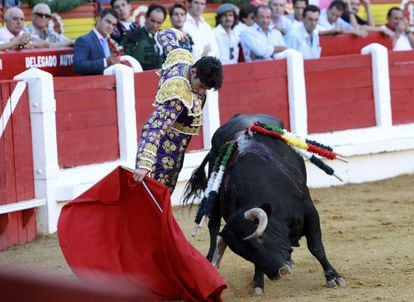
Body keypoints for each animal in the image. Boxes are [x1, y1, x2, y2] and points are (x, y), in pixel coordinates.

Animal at [184, 113, 346, 292]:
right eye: (244, 253)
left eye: (260, 237)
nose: (279, 272)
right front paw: (258, 283)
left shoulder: (310, 211)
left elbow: (316, 247)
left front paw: (333, 277)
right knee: (213, 226)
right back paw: (210, 260)